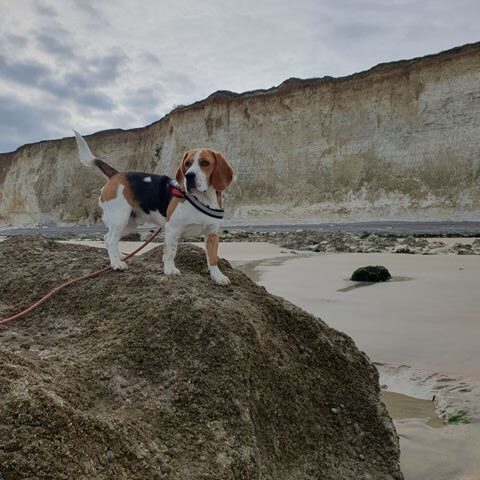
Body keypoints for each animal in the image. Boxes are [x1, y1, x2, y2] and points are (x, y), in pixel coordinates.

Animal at [72, 131, 234, 284]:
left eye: (205, 163)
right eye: (187, 163)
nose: (189, 176)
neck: (203, 198)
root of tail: (116, 175)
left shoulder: (212, 233)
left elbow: (212, 258)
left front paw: (218, 276)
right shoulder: (172, 229)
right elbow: (170, 251)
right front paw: (170, 269)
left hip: (130, 224)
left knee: (108, 238)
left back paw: (118, 258)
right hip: (120, 218)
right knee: (111, 240)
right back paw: (117, 264)